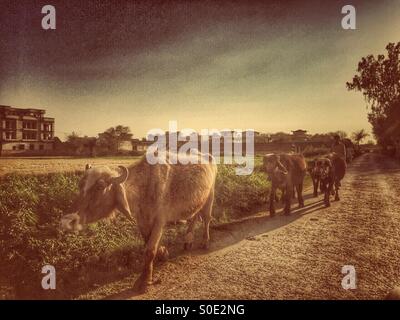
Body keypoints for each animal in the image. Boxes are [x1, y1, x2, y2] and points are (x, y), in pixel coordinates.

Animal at [60, 151, 216, 294]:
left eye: (100, 187)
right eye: (80, 185)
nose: (67, 221)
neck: (146, 187)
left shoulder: (159, 220)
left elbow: (149, 250)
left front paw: (144, 281)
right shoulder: (142, 221)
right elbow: (147, 244)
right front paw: (163, 252)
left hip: (210, 196)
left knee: (206, 218)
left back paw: (205, 241)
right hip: (198, 199)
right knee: (195, 216)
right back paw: (188, 240)